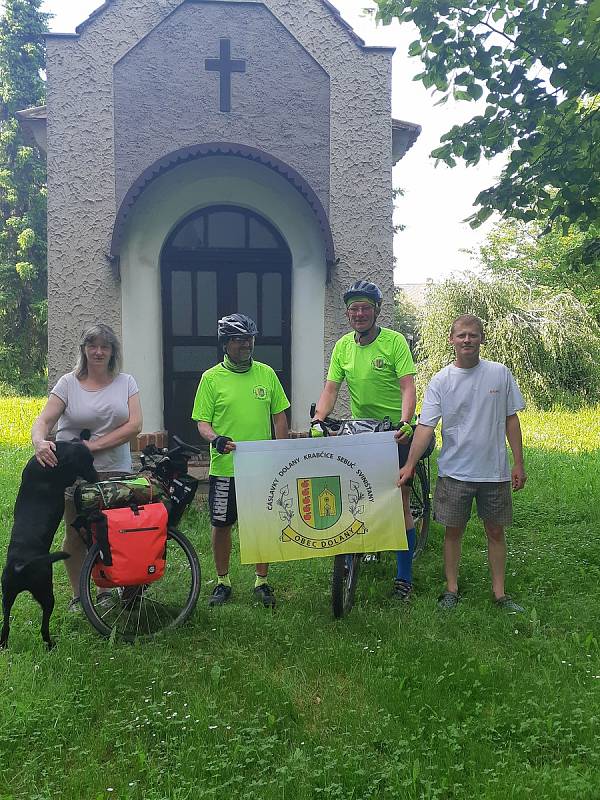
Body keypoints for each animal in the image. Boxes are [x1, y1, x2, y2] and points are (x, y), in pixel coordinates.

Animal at [0, 444, 97, 648]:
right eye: (88, 461)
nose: (96, 476)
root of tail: (21, 566)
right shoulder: (66, 477)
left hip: (6, 596)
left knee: (5, 625)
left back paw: (3, 644)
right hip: (46, 595)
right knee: (44, 626)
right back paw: (51, 644)